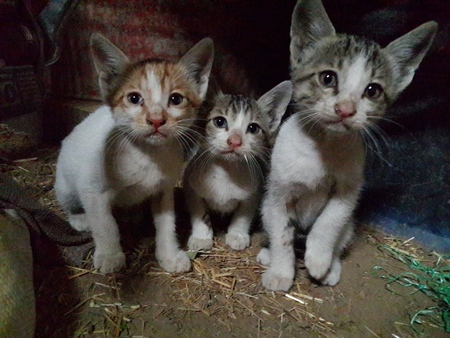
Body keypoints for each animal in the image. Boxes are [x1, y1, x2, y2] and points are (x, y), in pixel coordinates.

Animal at [53, 33, 214, 274]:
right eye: (134, 98)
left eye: (176, 99)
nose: (156, 119)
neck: (147, 155)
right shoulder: (92, 189)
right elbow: (105, 224)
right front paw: (110, 255)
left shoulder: (164, 189)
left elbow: (167, 223)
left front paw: (169, 254)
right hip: (65, 184)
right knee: (70, 204)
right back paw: (80, 219)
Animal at [185, 81, 294, 251]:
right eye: (220, 121)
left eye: (253, 128)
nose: (235, 141)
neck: (225, 171)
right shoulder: (191, 186)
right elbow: (199, 213)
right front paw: (201, 236)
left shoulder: (254, 191)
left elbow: (243, 214)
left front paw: (237, 234)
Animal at [258, 0, 438, 290]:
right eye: (327, 78)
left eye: (373, 90)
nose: (345, 109)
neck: (322, 147)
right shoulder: (277, 193)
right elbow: (282, 235)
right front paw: (281, 272)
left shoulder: (349, 190)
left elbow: (330, 222)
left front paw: (319, 259)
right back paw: (269, 253)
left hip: (350, 226)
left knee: (340, 236)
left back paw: (331, 265)